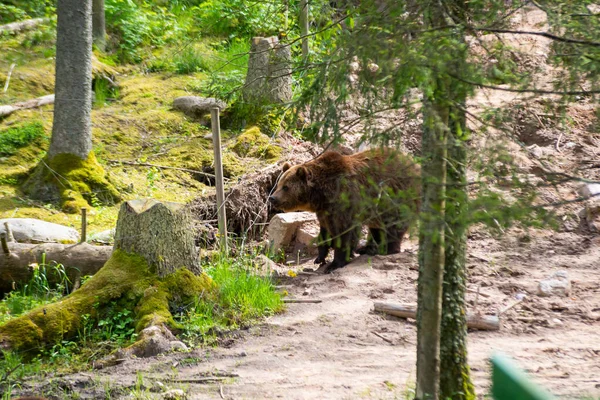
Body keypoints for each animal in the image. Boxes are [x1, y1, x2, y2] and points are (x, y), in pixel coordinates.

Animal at [270, 148, 420, 274]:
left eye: (286, 187)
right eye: (278, 185)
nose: (272, 198)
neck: (321, 194)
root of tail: (415, 165)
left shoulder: (345, 200)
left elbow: (345, 232)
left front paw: (335, 263)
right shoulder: (325, 211)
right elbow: (325, 230)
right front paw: (320, 257)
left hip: (394, 197)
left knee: (392, 225)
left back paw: (385, 249)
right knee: (377, 227)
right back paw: (367, 248)